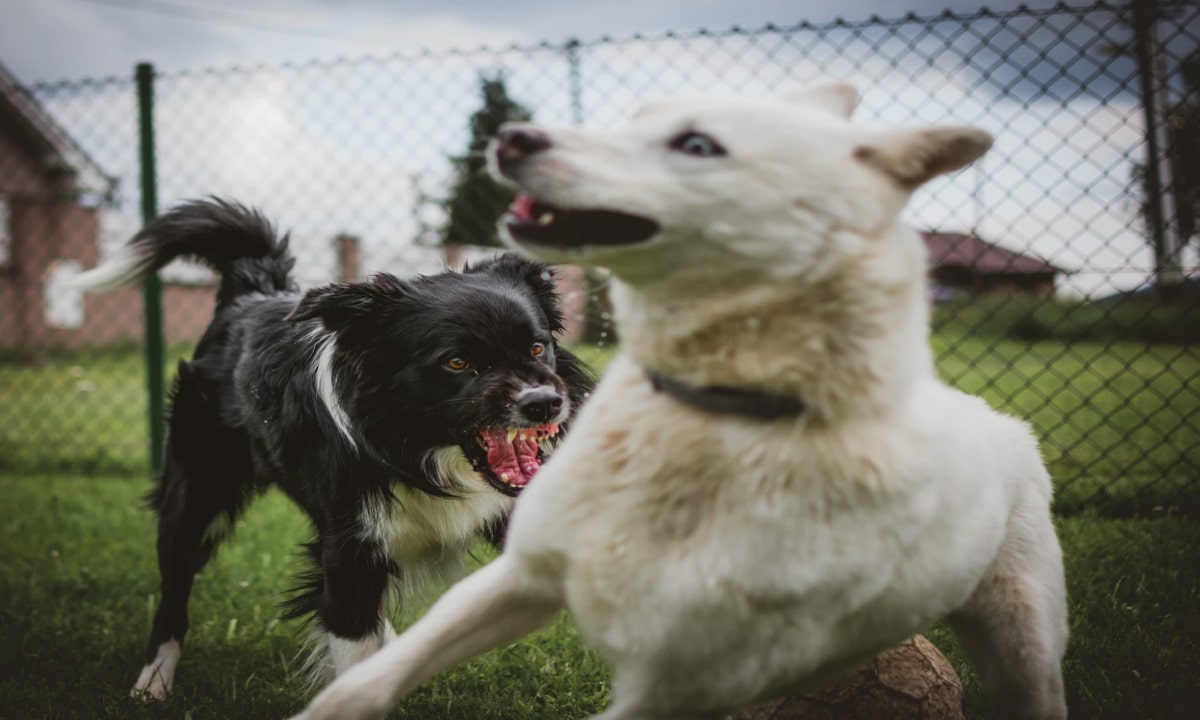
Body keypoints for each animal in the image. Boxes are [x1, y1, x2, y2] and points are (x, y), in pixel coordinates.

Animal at [68, 196, 592, 696]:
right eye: (457, 362)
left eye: (537, 347)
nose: (545, 404)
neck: (418, 451)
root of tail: (253, 291)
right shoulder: (350, 549)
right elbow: (350, 644)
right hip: (196, 493)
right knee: (174, 592)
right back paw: (153, 682)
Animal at [290, 84, 1070, 720]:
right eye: (455, 362)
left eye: (537, 348)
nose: (514, 137)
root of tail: (998, 420)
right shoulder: (514, 574)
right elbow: (366, 673)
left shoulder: (681, 681)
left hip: (1023, 634)